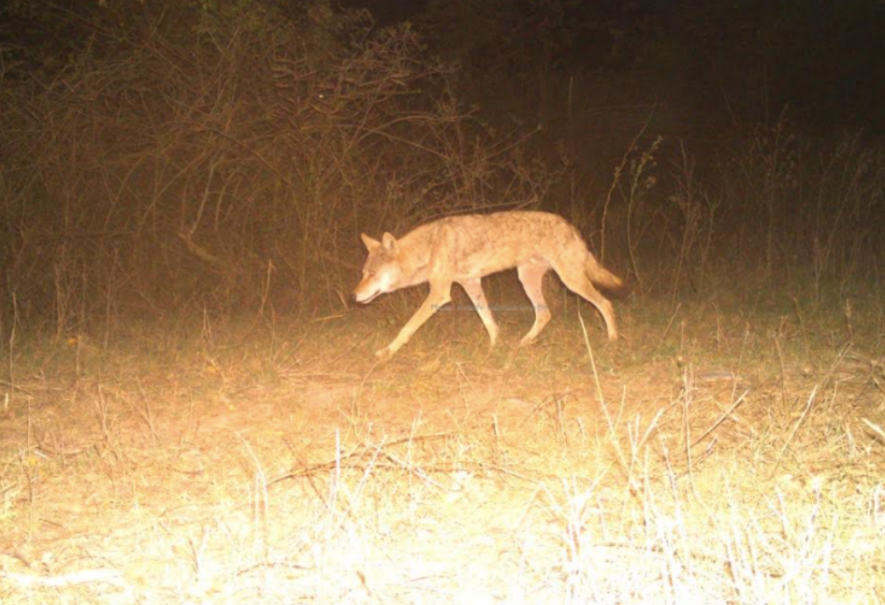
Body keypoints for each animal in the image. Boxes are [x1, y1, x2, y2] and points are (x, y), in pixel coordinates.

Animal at [353, 211, 623, 360]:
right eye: (363, 273)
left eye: (372, 274)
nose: (353, 296)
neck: (429, 247)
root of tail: (571, 226)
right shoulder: (471, 283)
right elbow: (489, 322)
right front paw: (494, 349)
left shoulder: (439, 294)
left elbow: (407, 327)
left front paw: (386, 353)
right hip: (527, 280)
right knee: (545, 314)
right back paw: (522, 344)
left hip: (571, 280)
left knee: (606, 303)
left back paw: (612, 341)